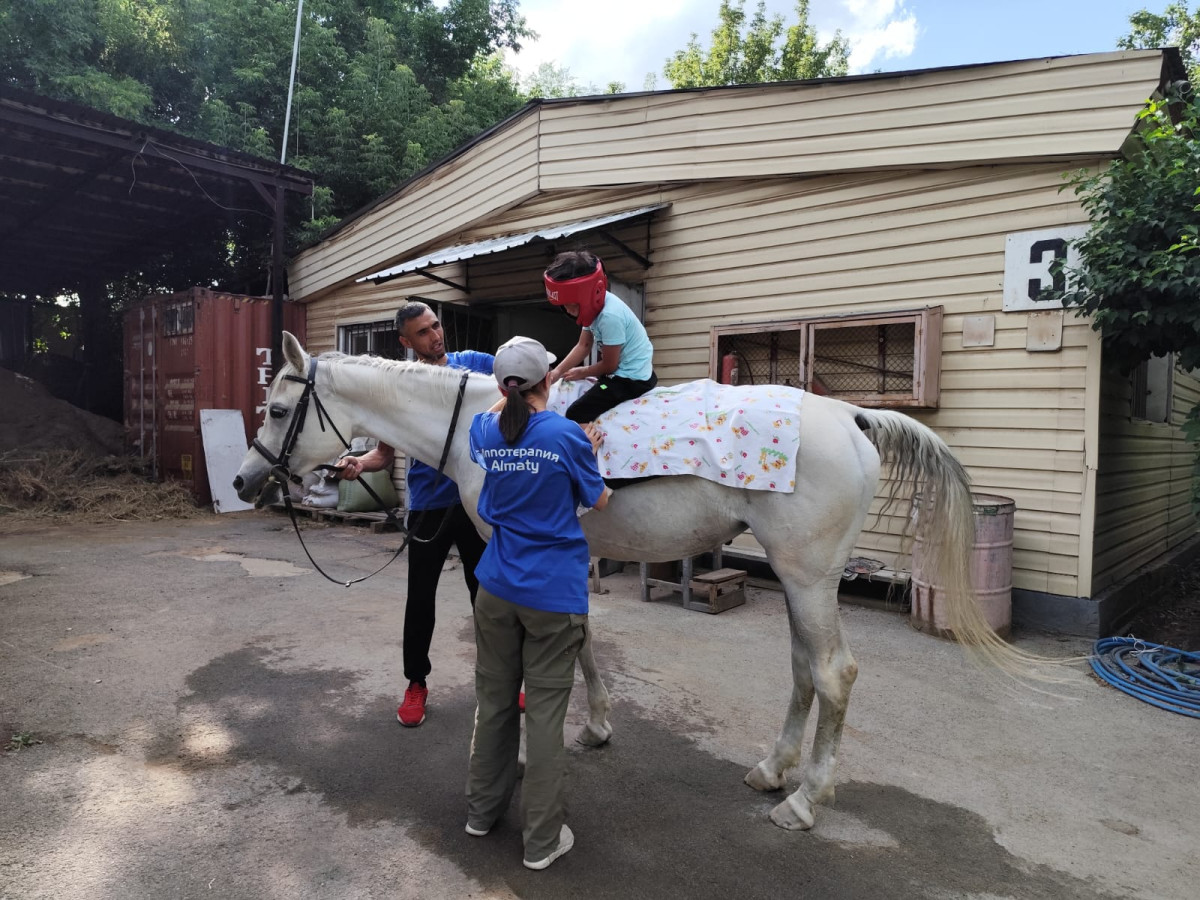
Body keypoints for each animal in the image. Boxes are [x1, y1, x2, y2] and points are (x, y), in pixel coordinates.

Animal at [231, 336, 1012, 835]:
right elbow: (581, 640)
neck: (484, 424)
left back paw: (804, 800)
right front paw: (598, 722)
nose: (243, 480)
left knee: (834, 672)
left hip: (810, 576)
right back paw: (773, 769)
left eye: (278, 409)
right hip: (798, 579)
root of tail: (850, 414)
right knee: (802, 669)